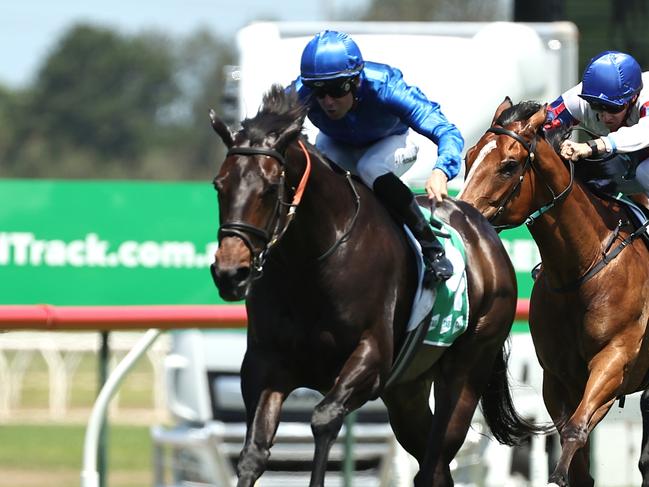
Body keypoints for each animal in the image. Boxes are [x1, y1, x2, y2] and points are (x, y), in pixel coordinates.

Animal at [208, 86, 536, 487]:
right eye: (220, 185)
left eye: (270, 189)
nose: (230, 272)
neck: (310, 263)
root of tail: (484, 229)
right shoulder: (265, 365)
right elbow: (253, 453)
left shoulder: (371, 360)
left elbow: (323, 419)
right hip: (407, 391)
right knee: (434, 465)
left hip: (466, 370)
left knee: (435, 461)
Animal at [458, 96, 648, 487]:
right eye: (469, 157)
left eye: (509, 165)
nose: (462, 215)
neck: (582, 269)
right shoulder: (558, 378)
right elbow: (573, 448)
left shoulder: (615, 359)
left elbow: (576, 430)